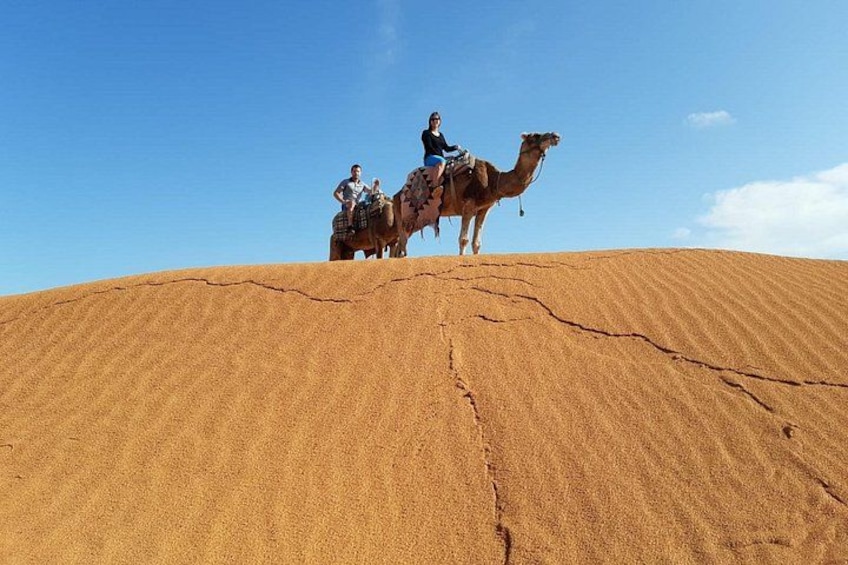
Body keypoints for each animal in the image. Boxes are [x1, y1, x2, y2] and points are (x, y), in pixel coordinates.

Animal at [392, 132, 561, 257]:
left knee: (401, 245)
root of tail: (397, 194)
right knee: (402, 243)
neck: (493, 181)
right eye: (536, 135)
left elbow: (476, 243)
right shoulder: (468, 205)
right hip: (407, 214)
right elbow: (463, 240)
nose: (555, 135)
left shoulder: (483, 209)